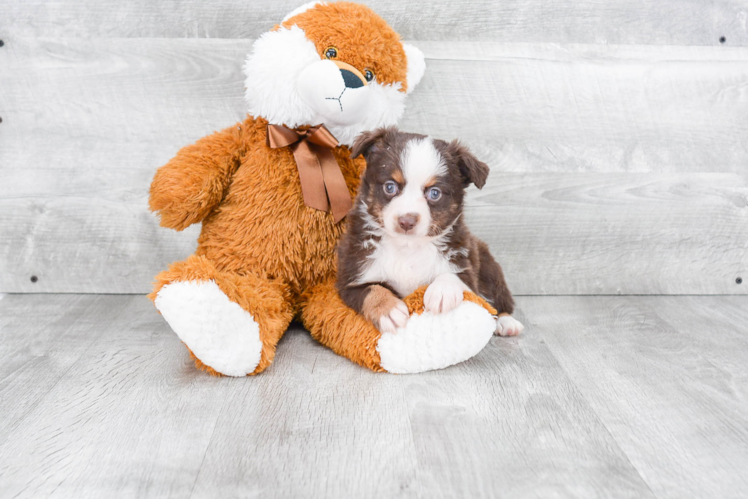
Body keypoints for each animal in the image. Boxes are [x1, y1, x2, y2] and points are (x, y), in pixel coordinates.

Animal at [336, 125, 524, 338]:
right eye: (390, 187)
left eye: (434, 193)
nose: (406, 221)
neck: (407, 247)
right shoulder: (351, 277)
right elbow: (372, 290)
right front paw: (388, 310)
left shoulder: (465, 268)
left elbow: (453, 276)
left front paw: (442, 292)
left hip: (489, 268)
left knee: (500, 301)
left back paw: (507, 322)